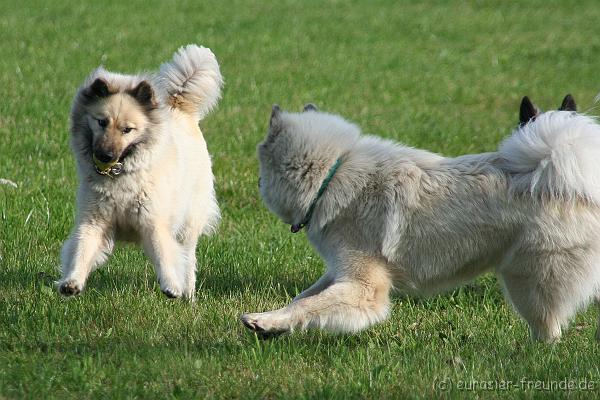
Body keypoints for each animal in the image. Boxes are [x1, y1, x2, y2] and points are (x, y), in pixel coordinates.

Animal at [58, 44, 223, 300]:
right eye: (101, 122)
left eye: (127, 130)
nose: (105, 156)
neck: (120, 178)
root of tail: (180, 108)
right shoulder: (93, 221)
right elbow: (81, 250)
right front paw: (72, 282)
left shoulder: (154, 223)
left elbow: (164, 254)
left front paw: (171, 286)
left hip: (188, 224)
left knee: (188, 258)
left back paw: (188, 294)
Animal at [241, 98, 600, 342]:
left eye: (261, 167)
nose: (255, 183)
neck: (332, 174)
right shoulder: (340, 270)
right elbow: (303, 298)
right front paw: (273, 323)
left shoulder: (364, 285)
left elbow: (311, 305)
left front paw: (266, 321)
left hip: (528, 281)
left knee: (548, 328)